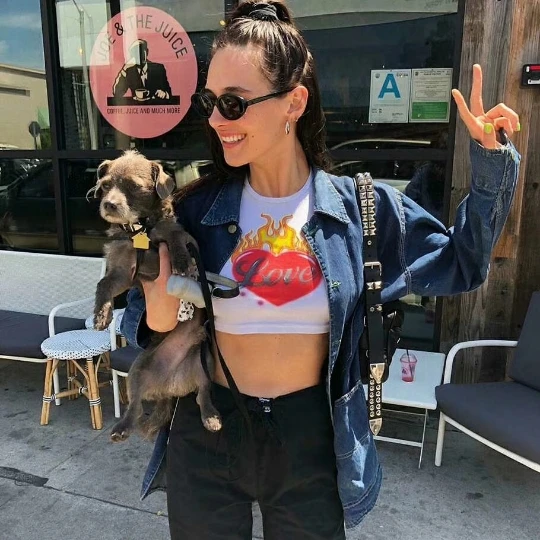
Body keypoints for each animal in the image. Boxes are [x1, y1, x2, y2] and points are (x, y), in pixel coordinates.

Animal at [90, 150, 222, 441]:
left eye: (133, 187)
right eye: (105, 185)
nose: (109, 205)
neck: (140, 231)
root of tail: (170, 388)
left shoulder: (186, 239)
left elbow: (174, 237)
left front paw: (181, 261)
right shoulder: (122, 273)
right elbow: (103, 284)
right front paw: (101, 315)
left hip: (206, 362)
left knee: (204, 394)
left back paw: (211, 417)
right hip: (138, 370)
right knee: (136, 406)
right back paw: (122, 428)